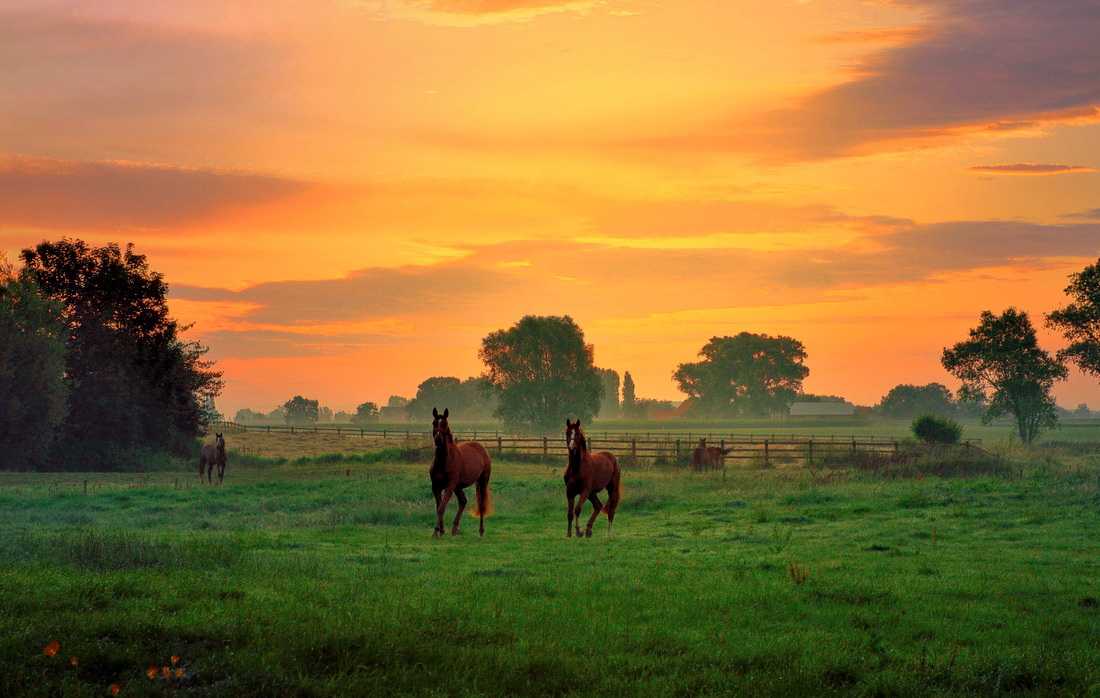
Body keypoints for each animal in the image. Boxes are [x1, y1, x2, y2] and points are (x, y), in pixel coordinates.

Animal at [426, 406, 492, 538]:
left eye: (445, 424)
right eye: (434, 423)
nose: (438, 439)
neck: (444, 461)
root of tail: (482, 448)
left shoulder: (450, 486)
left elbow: (441, 507)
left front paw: (436, 531)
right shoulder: (435, 487)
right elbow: (439, 507)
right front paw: (441, 530)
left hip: (482, 482)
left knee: (481, 504)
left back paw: (481, 531)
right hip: (458, 486)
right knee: (463, 501)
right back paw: (455, 529)